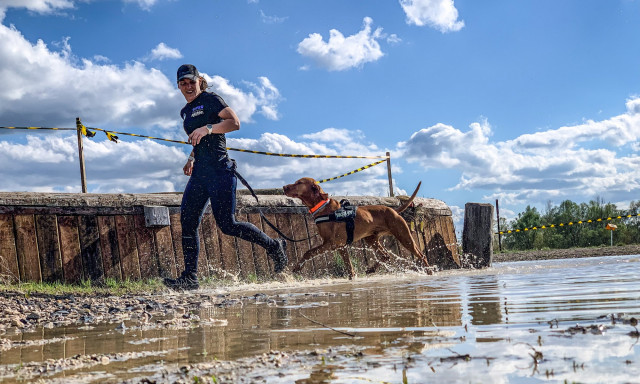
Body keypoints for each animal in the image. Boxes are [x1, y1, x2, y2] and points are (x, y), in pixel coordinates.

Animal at [284, 177, 430, 280]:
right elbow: (349, 266)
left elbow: (308, 252)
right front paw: (352, 277)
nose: (284, 186)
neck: (322, 207)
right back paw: (371, 270)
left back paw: (429, 271)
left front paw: (297, 268)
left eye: (299, 182)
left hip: (404, 236)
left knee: (421, 255)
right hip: (371, 239)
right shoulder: (341, 246)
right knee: (385, 255)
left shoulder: (331, 243)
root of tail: (393, 210)